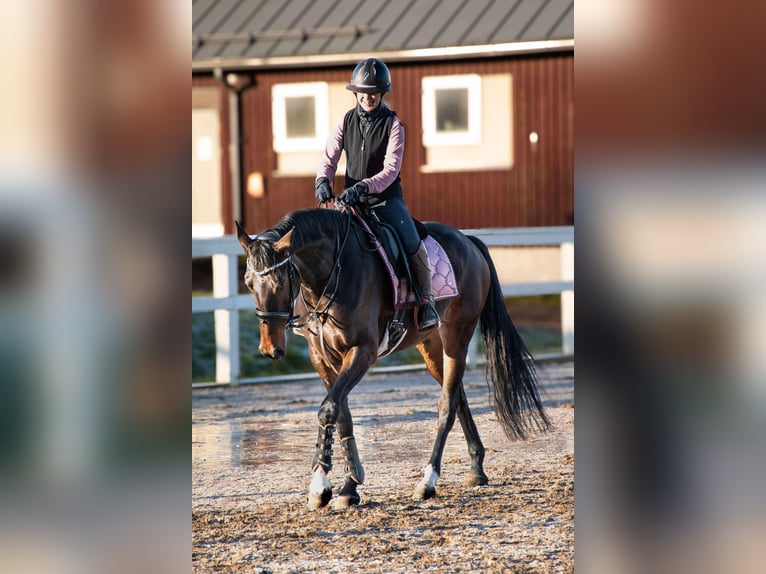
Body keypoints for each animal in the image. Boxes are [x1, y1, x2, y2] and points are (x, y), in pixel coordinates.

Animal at [236, 207, 550, 509]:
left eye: (279, 283)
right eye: (248, 283)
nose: (270, 348)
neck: (333, 273)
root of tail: (468, 241)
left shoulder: (362, 352)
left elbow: (328, 410)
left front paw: (320, 485)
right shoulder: (322, 358)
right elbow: (342, 415)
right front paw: (349, 486)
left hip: (456, 337)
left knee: (447, 405)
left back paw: (428, 481)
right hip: (431, 346)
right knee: (458, 397)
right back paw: (476, 468)